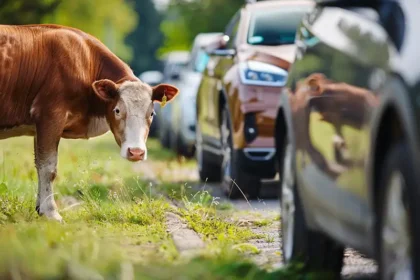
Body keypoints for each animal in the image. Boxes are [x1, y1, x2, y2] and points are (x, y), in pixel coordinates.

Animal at [0, 24, 179, 221]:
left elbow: (39, 164)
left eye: (152, 113)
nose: (136, 152)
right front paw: (51, 213)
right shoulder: (49, 114)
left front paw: (40, 208)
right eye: (117, 110)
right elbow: (48, 167)